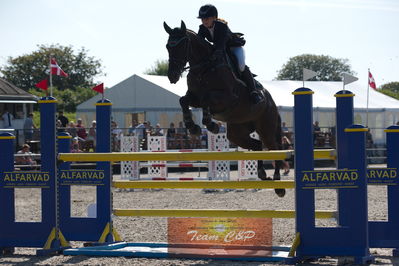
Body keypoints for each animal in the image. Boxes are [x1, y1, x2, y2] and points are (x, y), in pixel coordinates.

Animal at [164, 20, 286, 197]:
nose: (172, 76)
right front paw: (193, 127)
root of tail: (272, 102)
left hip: (266, 128)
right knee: (257, 145)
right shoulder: (193, 97)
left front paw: (211, 125)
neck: (204, 67)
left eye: (183, 44)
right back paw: (262, 174)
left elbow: (206, 99)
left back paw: (278, 185)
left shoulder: (229, 98)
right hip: (237, 132)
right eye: (168, 46)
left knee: (273, 148)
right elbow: (183, 100)